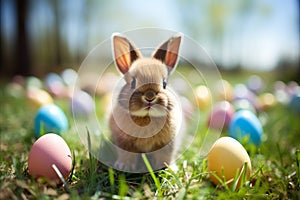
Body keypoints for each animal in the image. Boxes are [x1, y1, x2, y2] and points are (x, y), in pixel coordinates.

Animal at [108, 33, 182, 172]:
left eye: (164, 84)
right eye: (133, 83)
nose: (149, 97)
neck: (147, 117)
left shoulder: (167, 143)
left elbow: (165, 155)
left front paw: (168, 168)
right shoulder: (124, 142)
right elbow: (127, 154)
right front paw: (125, 165)